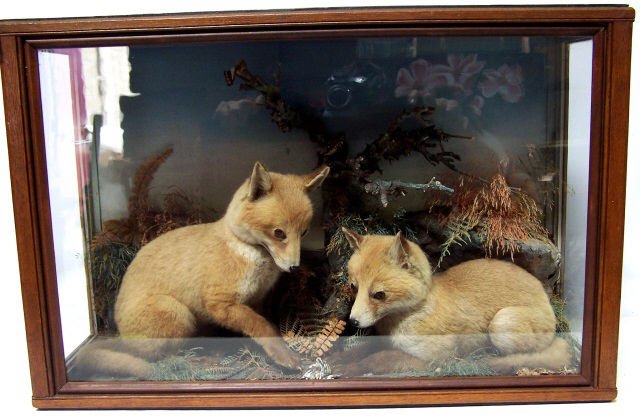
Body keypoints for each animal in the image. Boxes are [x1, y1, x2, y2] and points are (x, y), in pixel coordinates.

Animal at [77, 162, 329, 378]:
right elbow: (263, 326)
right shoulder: (219, 303)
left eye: (304, 232)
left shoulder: (255, 301)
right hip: (178, 313)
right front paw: (282, 354)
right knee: (161, 357)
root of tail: (119, 332)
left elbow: (262, 322)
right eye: (279, 233)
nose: (294, 267)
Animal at [340, 229, 571, 375]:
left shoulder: (432, 358)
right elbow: (361, 351)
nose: (352, 322)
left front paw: (350, 368)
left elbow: (377, 359)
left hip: (502, 323)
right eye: (354, 287)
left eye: (379, 294)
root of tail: (544, 294)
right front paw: (340, 358)